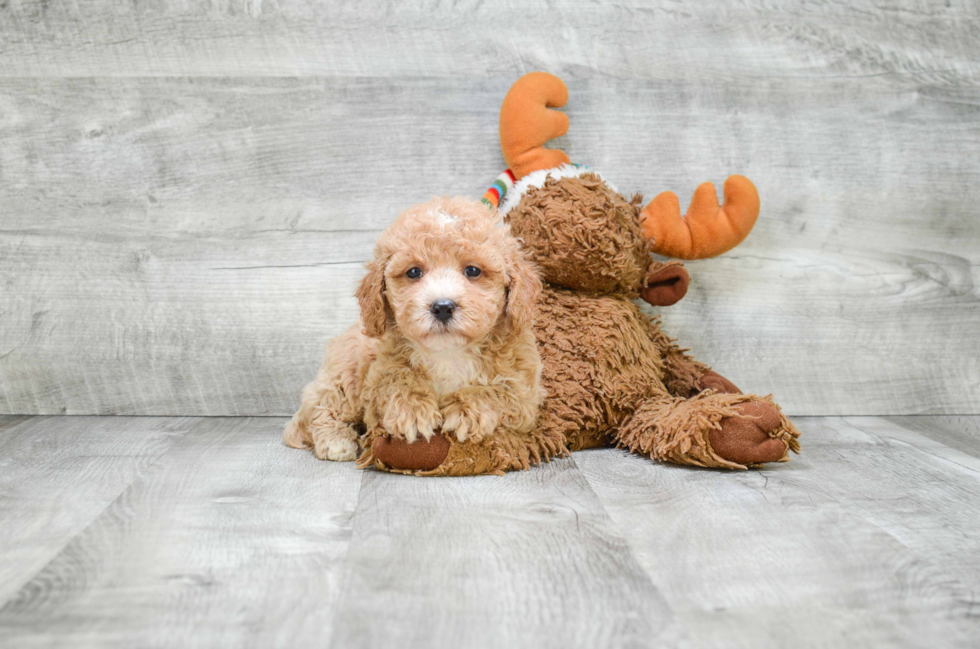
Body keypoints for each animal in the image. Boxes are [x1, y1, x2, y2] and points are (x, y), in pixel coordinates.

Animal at [284, 196, 544, 460]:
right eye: (414, 272)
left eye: (473, 271)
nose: (442, 307)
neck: (448, 353)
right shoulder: (377, 376)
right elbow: (397, 381)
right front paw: (412, 409)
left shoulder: (525, 394)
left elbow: (499, 393)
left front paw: (464, 409)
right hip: (342, 375)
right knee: (323, 407)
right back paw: (336, 441)